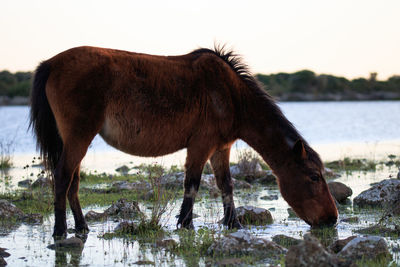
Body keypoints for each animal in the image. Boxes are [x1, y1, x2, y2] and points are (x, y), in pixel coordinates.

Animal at [29, 45, 340, 238]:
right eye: (314, 177)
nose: (332, 218)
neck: (231, 95)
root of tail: (51, 63)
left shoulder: (221, 148)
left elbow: (226, 185)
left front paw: (233, 222)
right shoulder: (201, 145)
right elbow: (192, 184)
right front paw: (186, 224)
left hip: (75, 139)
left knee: (73, 181)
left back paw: (82, 227)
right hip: (79, 136)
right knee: (63, 176)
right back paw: (60, 230)